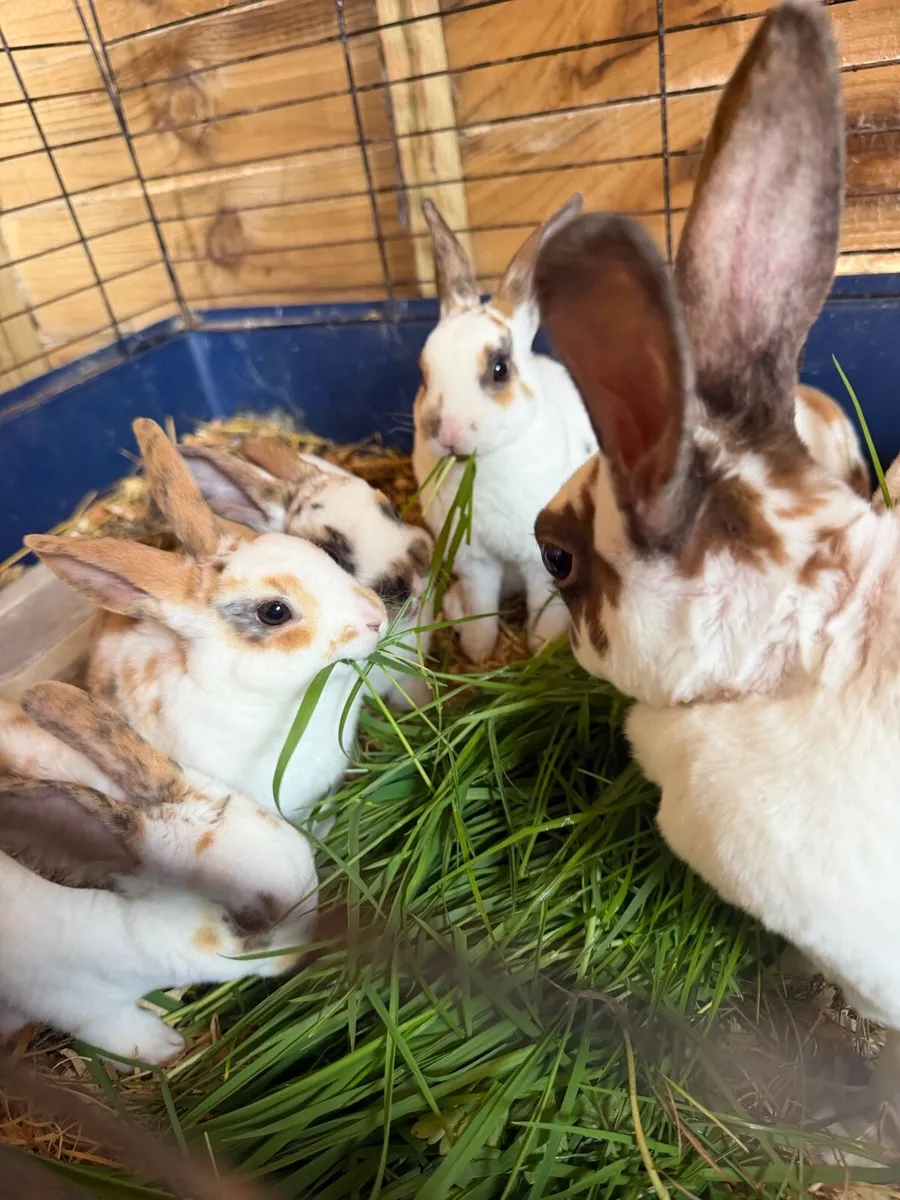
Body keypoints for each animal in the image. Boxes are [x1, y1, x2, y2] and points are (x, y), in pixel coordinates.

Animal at [412, 195, 599, 664]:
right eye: (423, 372)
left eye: (499, 369)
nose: (444, 431)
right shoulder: (475, 561)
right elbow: (483, 610)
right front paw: (478, 655)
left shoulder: (540, 561)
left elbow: (544, 610)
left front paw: (541, 650)